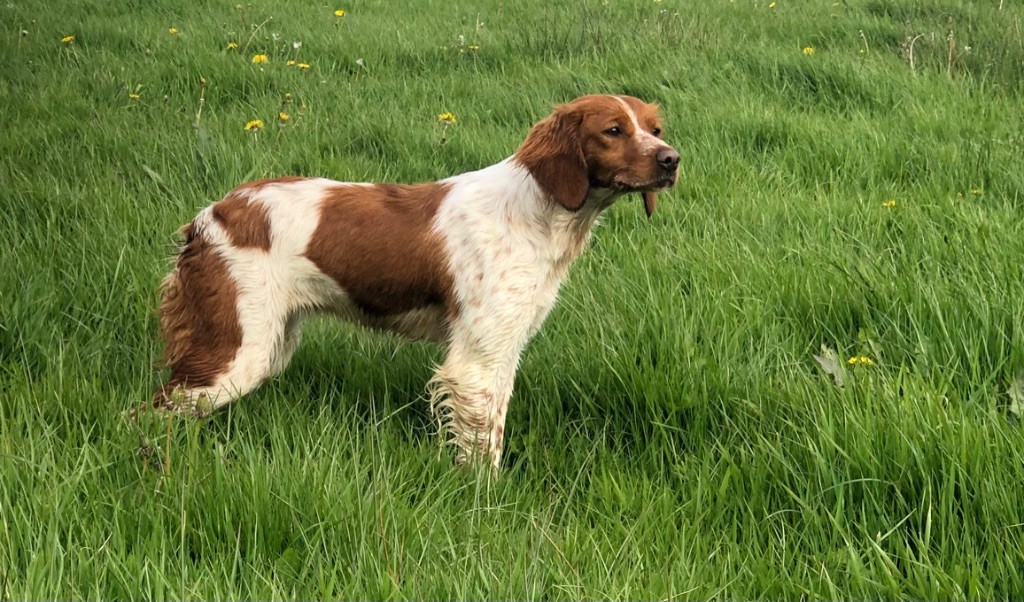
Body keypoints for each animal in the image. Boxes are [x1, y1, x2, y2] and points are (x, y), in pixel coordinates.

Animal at [153, 94, 679, 468]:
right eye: (613, 130)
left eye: (654, 130)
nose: (672, 159)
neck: (540, 212)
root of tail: (209, 216)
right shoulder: (474, 362)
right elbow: (481, 455)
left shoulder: (502, 351)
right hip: (236, 350)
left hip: (270, 344)